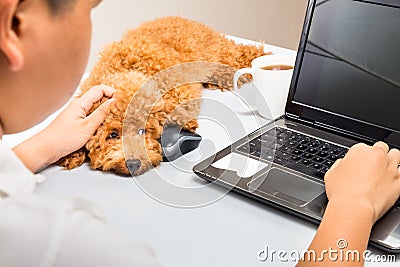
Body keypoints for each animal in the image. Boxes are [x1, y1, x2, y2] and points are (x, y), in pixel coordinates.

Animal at [57, 16, 268, 176]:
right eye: (113, 135)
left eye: (142, 131)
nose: (133, 164)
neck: (130, 68)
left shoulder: (181, 94)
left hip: (218, 54)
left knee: (241, 53)